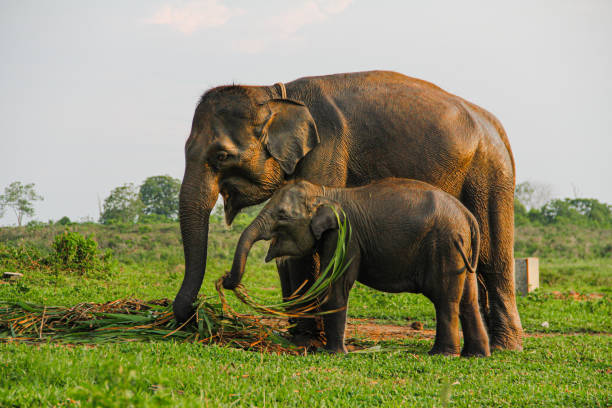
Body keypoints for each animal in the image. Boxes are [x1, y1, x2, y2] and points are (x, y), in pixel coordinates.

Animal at [222, 178, 490, 356]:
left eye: (283, 215)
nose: (225, 279)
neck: (325, 192)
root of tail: (469, 217)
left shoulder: (345, 236)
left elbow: (336, 285)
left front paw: (333, 354)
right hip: (461, 250)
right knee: (468, 300)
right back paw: (475, 355)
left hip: (445, 246)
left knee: (446, 300)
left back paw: (442, 354)